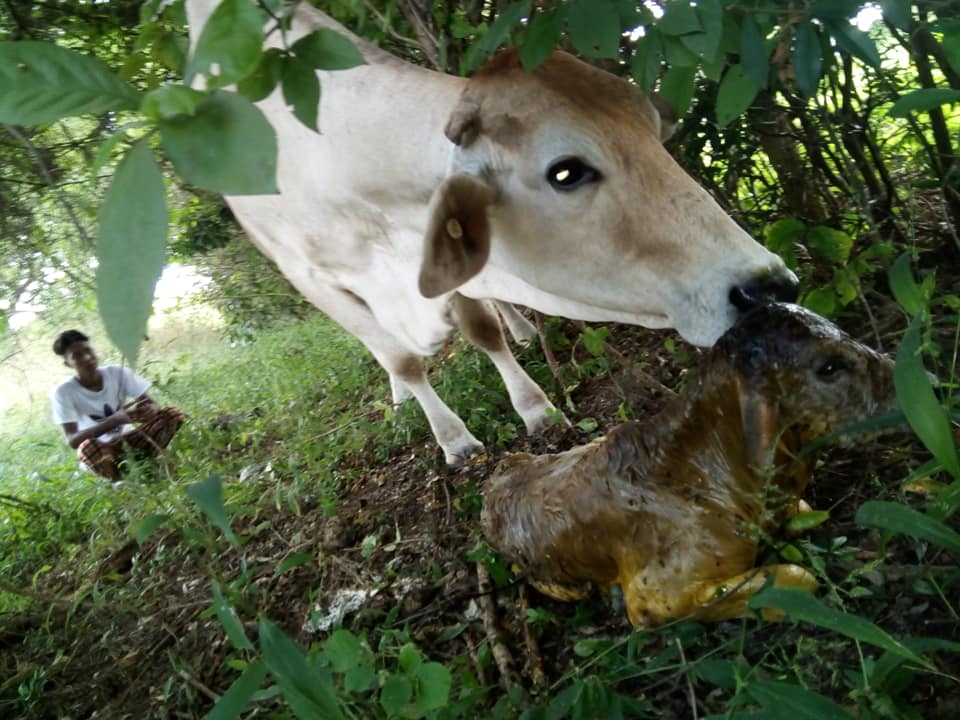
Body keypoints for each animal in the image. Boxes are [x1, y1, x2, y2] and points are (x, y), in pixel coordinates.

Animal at [186, 1, 796, 466]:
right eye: (566, 172)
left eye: (653, 137)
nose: (770, 286)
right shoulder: (309, 276)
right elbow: (400, 358)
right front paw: (453, 440)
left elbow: (483, 331)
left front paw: (533, 406)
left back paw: (522, 328)